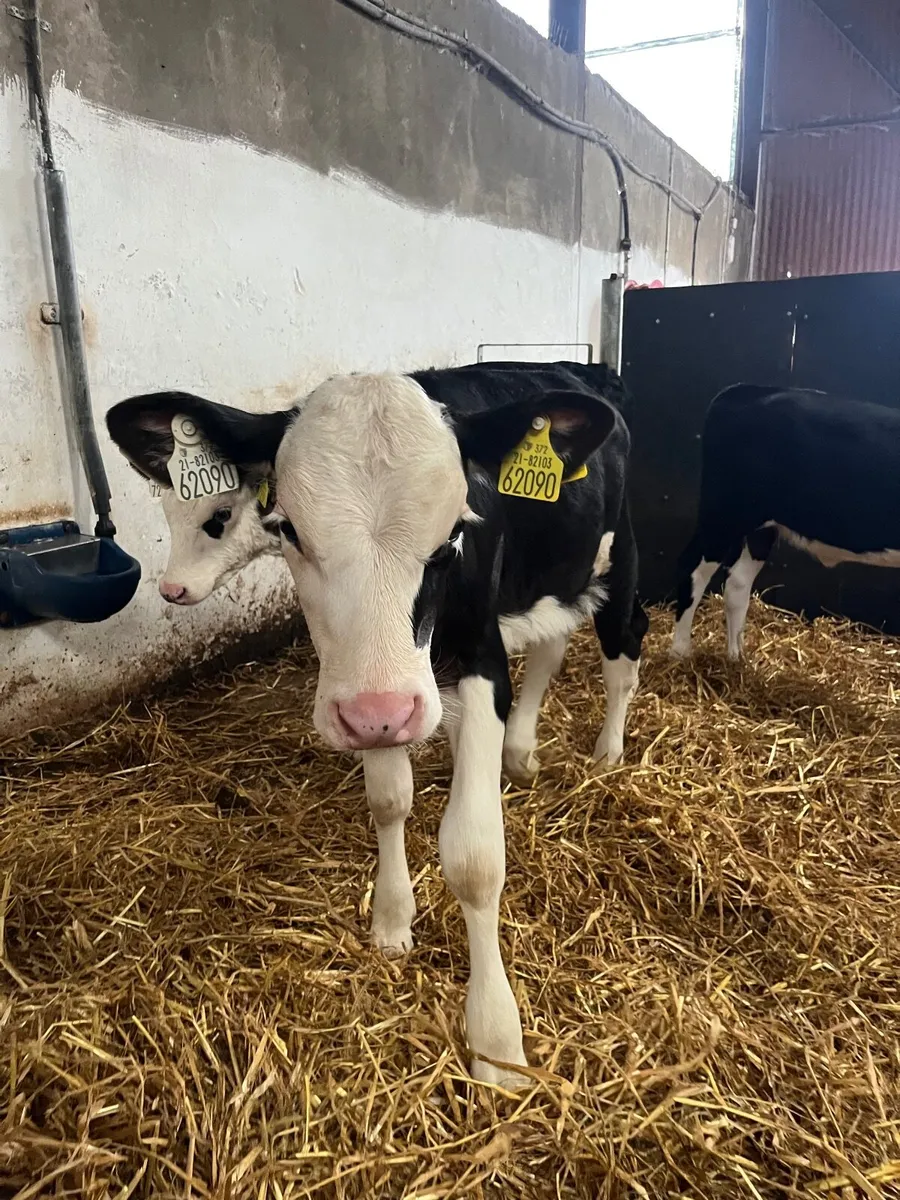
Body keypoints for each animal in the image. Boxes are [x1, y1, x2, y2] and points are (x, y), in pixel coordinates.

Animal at [106, 364, 647, 1088]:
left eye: (453, 535)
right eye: (287, 528)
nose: (171, 591)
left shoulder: (476, 661)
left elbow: (475, 858)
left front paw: (496, 1038)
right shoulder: (364, 689)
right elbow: (389, 801)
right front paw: (392, 921)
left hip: (619, 560)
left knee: (622, 648)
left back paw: (607, 753)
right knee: (551, 647)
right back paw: (521, 753)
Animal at [671, 383, 900, 660]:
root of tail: (742, 391)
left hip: (760, 528)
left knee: (737, 583)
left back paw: (737, 657)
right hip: (723, 515)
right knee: (691, 567)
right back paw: (681, 652)